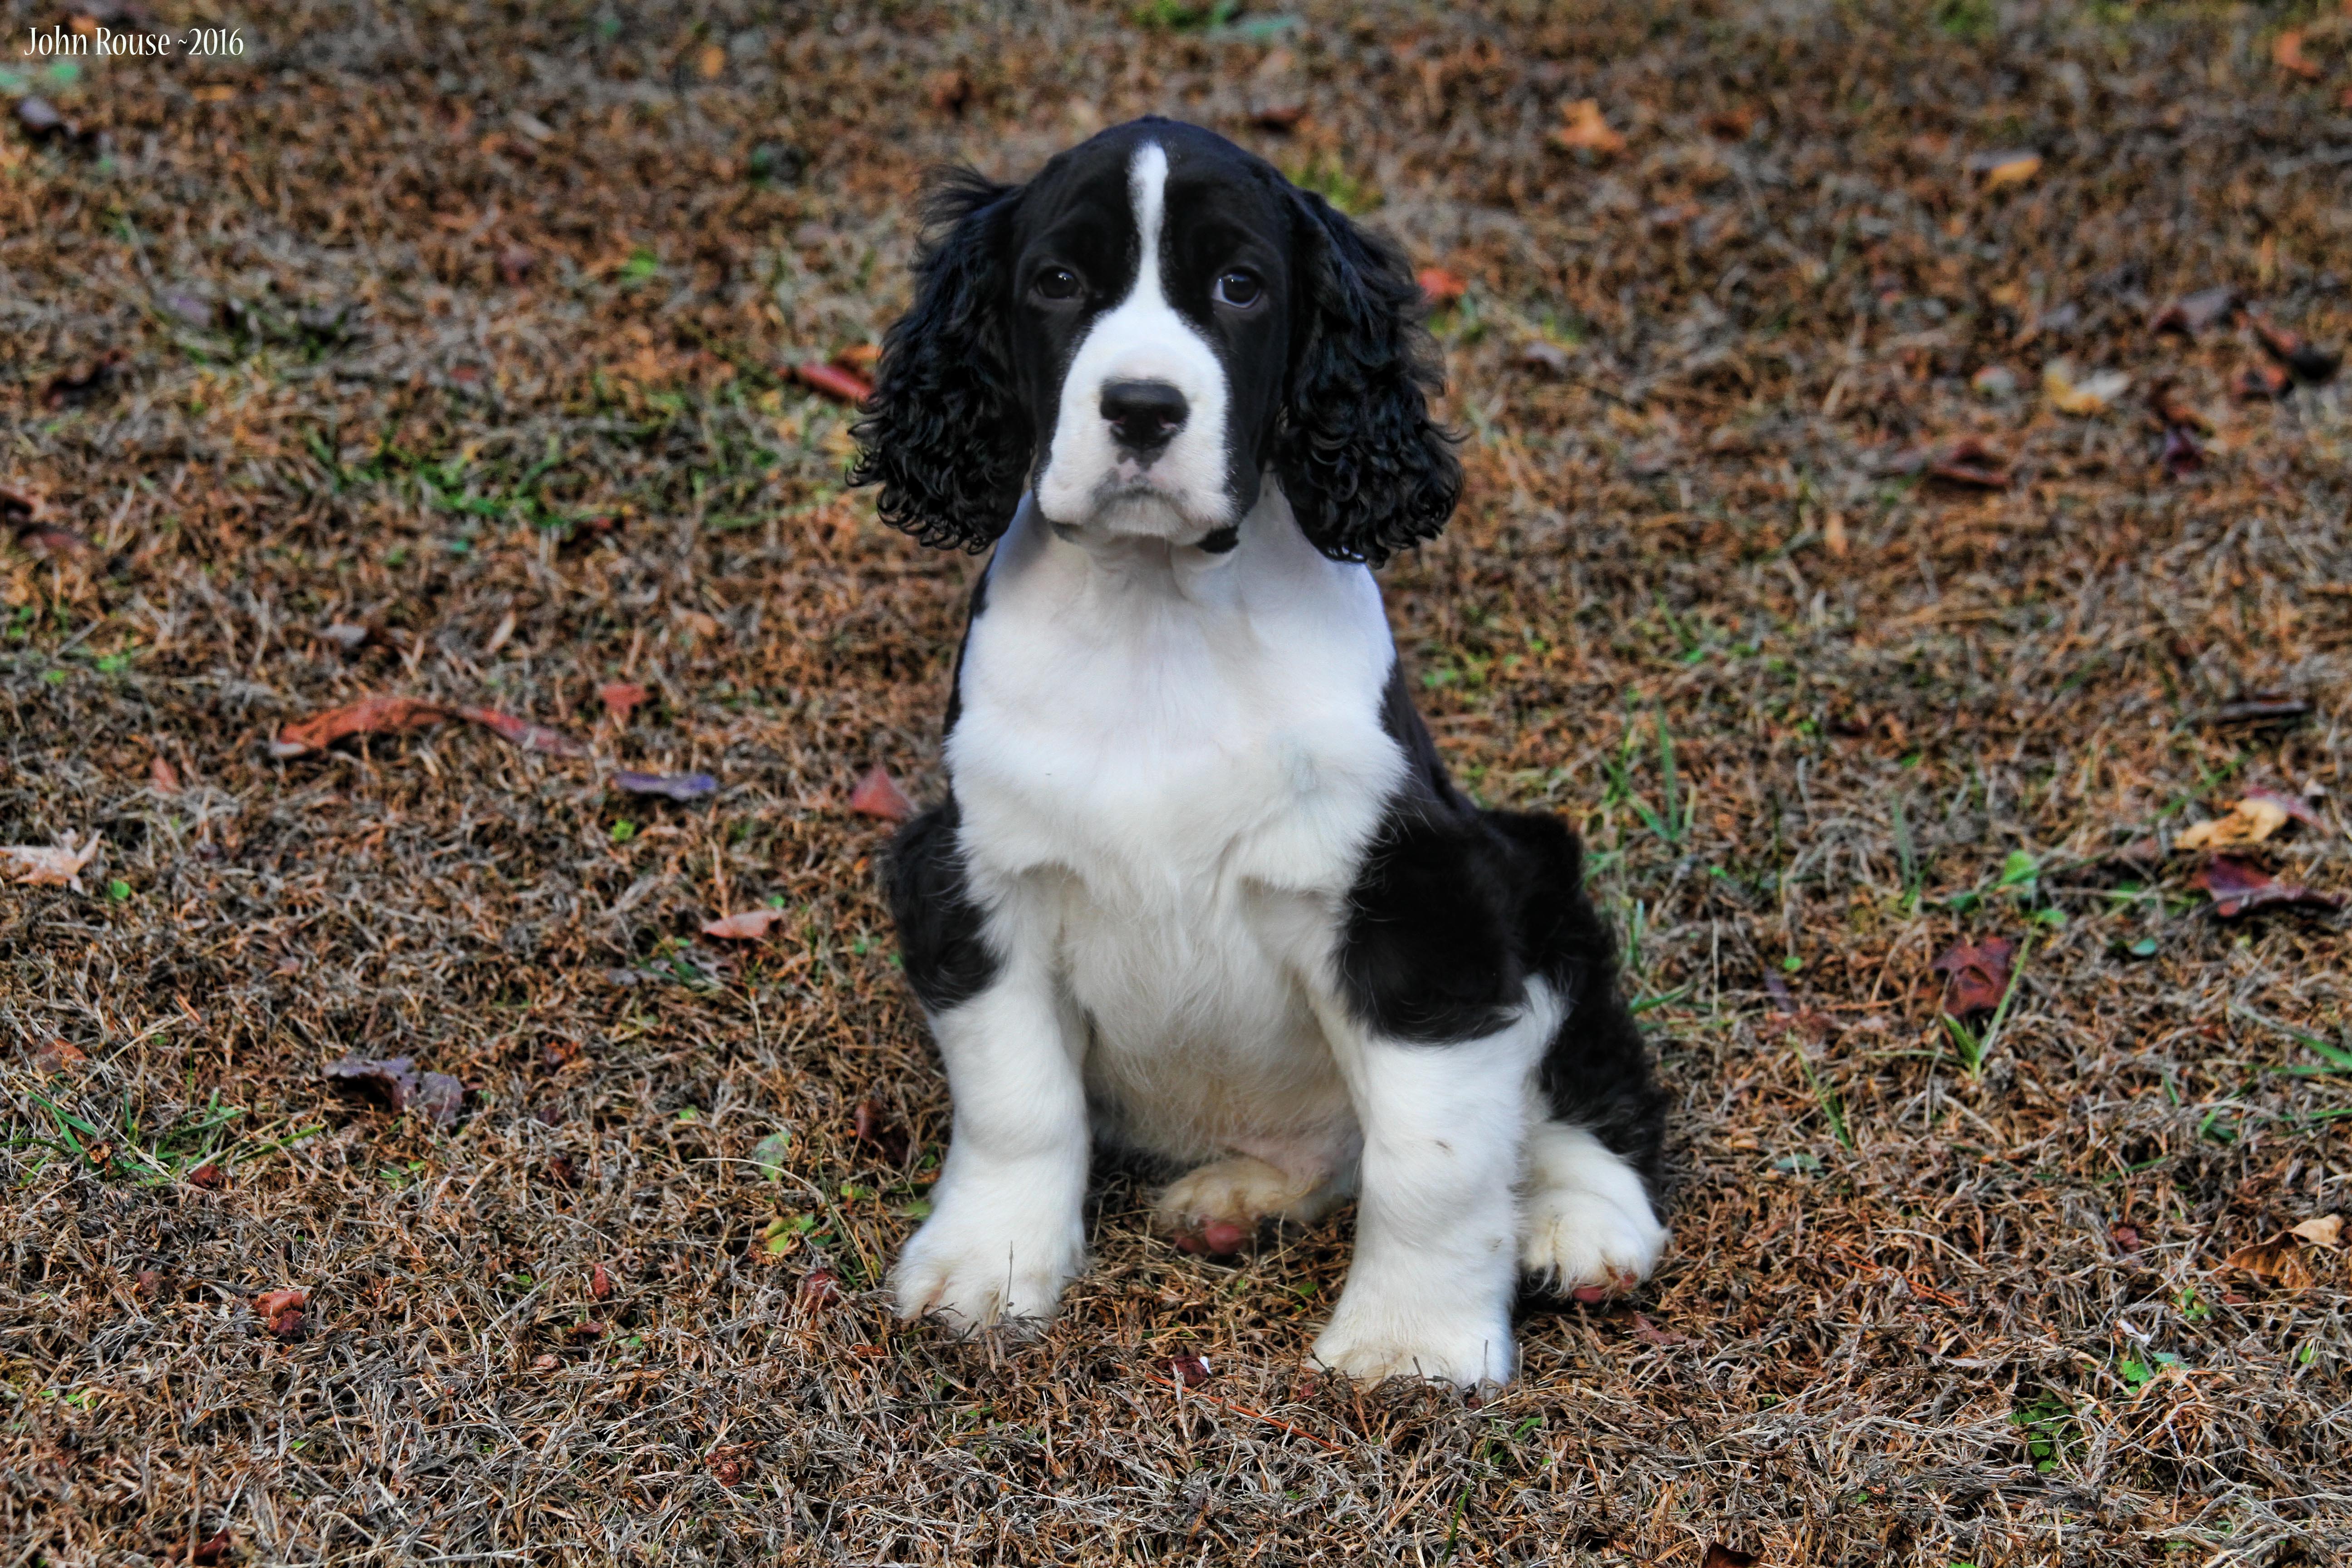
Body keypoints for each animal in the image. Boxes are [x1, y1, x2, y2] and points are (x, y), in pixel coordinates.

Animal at [856, 113, 1665, 1382]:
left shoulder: (1415, 892)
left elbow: (1431, 1157)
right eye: (1057, 282)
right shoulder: (974, 870)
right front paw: (988, 1263)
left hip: (1533, 870)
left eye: (1240, 287)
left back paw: (1578, 1220)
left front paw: (1412, 1344)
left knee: (1582, 1076)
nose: (1143, 409)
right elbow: (1017, 1099)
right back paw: (1244, 1194)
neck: (1161, 612)